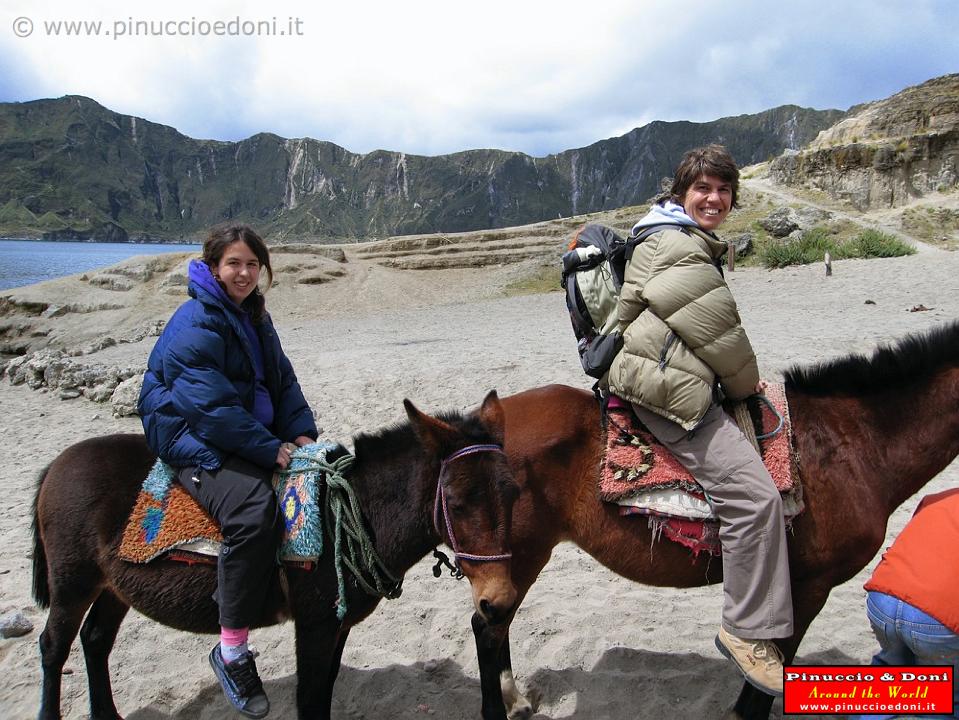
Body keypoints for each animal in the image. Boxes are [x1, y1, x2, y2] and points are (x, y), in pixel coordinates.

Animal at [31, 394, 516, 720]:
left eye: (513, 490)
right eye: (457, 502)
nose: (498, 603)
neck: (355, 509)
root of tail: (56, 465)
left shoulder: (336, 626)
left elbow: (325, 690)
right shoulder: (314, 625)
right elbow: (310, 700)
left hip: (115, 587)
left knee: (95, 640)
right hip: (72, 582)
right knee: (54, 647)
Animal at [468, 324, 959, 716]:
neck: (856, 442)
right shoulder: (811, 585)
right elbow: (765, 682)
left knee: (495, 623)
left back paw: (516, 702)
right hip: (517, 558)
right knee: (488, 626)